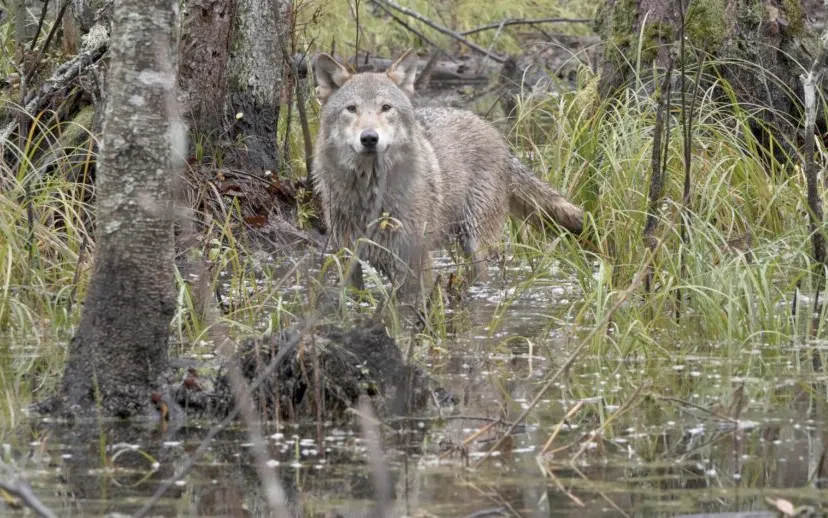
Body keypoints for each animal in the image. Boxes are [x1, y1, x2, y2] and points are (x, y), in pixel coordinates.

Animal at [312, 50, 583, 295]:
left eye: (386, 107)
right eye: (351, 109)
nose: (369, 138)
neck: (370, 192)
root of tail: (495, 134)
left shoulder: (417, 259)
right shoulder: (347, 259)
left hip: (475, 242)